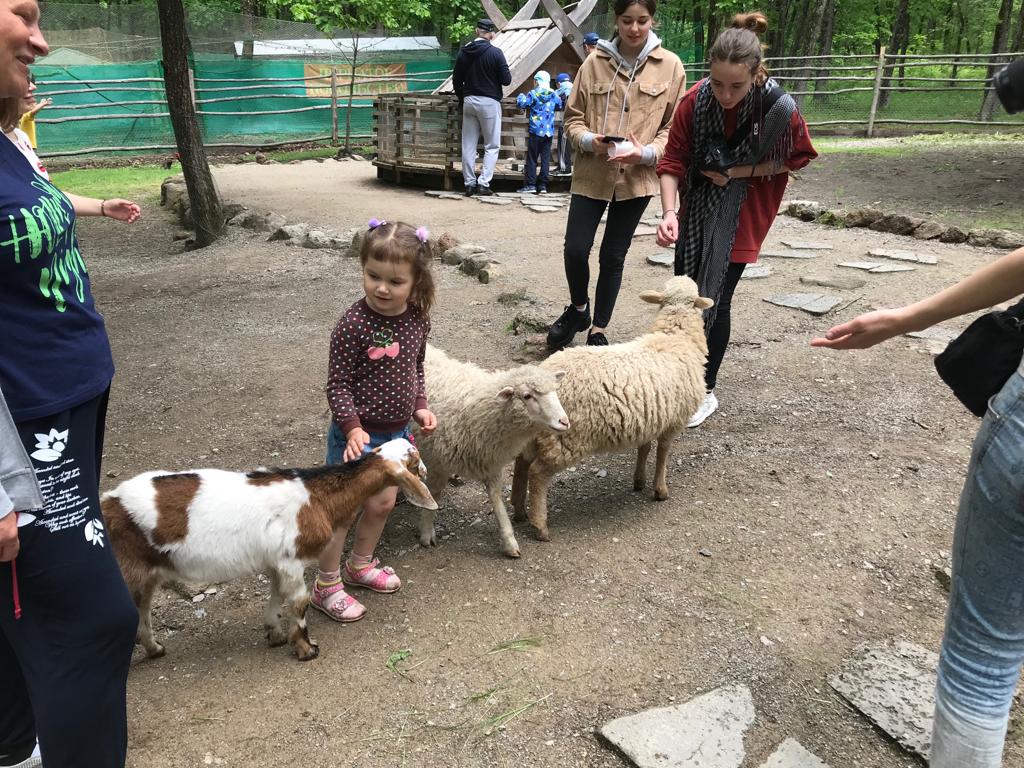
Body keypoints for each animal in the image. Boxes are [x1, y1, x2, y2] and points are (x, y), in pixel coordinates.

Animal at [101, 438, 438, 663]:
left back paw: (154, 648)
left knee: (142, 608)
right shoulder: (292, 558)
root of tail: (108, 503)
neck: (316, 497)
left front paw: (275, 634)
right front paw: (305, 648)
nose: (425, 470)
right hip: (125, 569)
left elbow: (277, 595)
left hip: (147, 570)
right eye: (414, 459)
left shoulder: (277, 560)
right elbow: (299, 601)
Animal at [415, 348, 577, 561]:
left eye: (555, 391)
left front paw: (510, 542)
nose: (564, 422)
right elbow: (434, 494)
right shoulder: (437, 461)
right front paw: (426, 533)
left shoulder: (490, 462)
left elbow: (497, 500)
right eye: (527, 396)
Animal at [509, 274, 712, 540]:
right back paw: (540, 525)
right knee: (537, 473)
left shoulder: (650, 416)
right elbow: (663, 453)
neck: (675, 336)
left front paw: (639, 481)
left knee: (521, 464)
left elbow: (645, 448)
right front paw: (660, 490)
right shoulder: (674, 420)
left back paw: (519, 510)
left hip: (538, 434)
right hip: (566, 437)